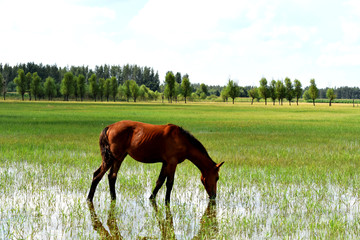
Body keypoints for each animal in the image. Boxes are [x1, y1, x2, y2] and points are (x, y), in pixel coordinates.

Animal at [87, 121, 224, 203]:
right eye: (217, 178)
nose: (213, 196)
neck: (182, 141)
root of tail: (109, 127)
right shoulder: (172, 163)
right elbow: (169, 183)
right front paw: (167, 202)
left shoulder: (165, 163)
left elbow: (159, 181)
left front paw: (151, 198)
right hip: (111, 158)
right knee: (97, 175)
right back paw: (89, 198)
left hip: (119, 158)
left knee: (112, 176)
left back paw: (113, 198)